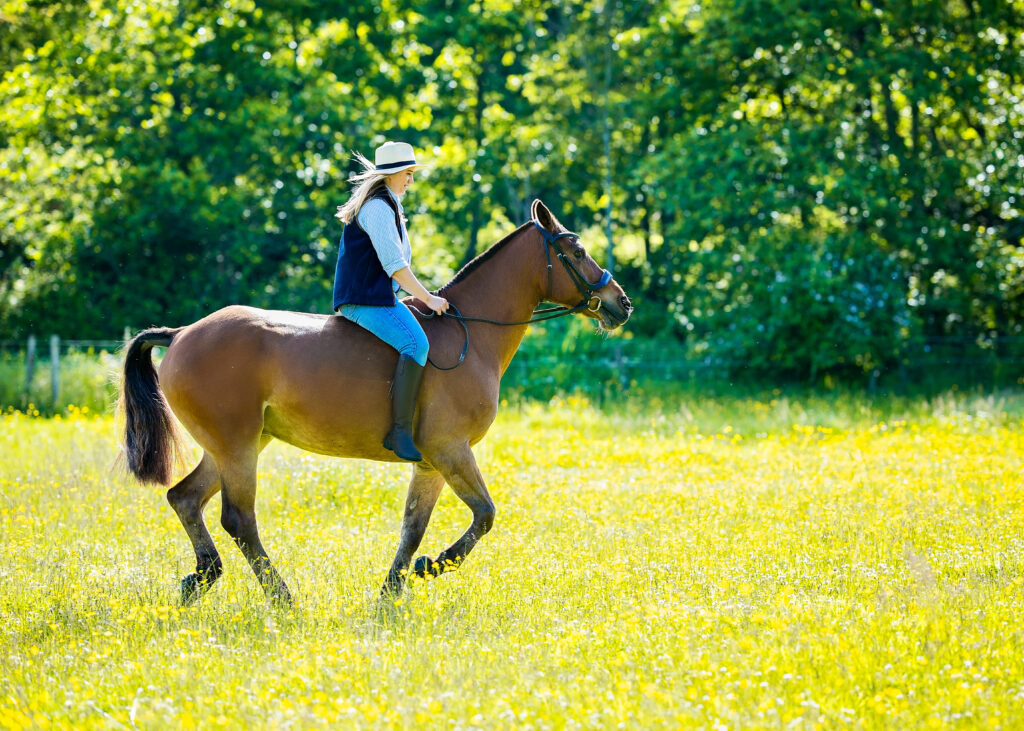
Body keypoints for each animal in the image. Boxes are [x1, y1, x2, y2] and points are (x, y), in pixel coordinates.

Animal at [119, 199, 632, 604]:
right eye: (578, 251)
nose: (621, 303)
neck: (473, 333)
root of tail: (181, 333)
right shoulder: (451, 450)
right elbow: (485, 515)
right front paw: (434, 566)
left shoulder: (431, 463)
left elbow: (413, 528)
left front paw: (394, 589)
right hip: (237, 447)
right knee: (239, 519)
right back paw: (282, 598)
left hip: (234, 446)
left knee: (185, 498)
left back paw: (202, 577)